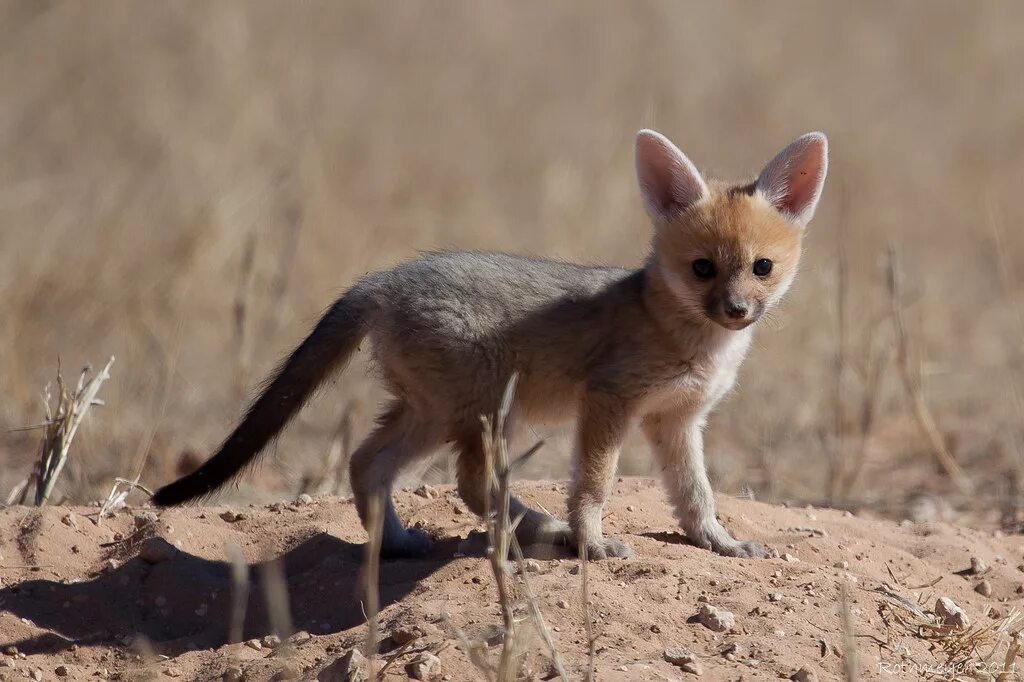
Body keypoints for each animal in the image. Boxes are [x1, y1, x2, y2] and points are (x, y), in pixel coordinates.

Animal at [151, 127, 827, 557]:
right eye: (702, 269)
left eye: (761, 268)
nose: (737, 311)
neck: (689, 338)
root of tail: (385, 278)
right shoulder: (608, 401)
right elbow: (595, 484)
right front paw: (590, 540)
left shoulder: (678, 420)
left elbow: (695, 492)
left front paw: (717, 540)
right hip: (480, 414)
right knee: (473, 487)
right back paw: (548, 531)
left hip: (434, 414)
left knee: (368, 463)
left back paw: (397, 543)